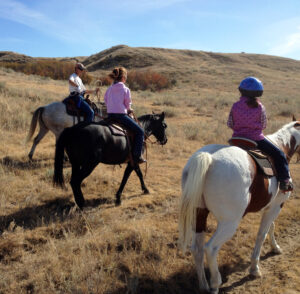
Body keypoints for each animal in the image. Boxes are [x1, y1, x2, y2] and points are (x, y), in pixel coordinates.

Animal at [179, 118, 298, 292]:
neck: (282, 146)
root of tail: (208, 158)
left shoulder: (270, 206)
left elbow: (271, 226)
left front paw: (275, 247)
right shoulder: (277, 205)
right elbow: (262, 234)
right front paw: (254, 268)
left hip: (199, 215)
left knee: (197, 249)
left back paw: (203, 285)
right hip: (229, 223)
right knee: (210, 248)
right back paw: (215, 284)